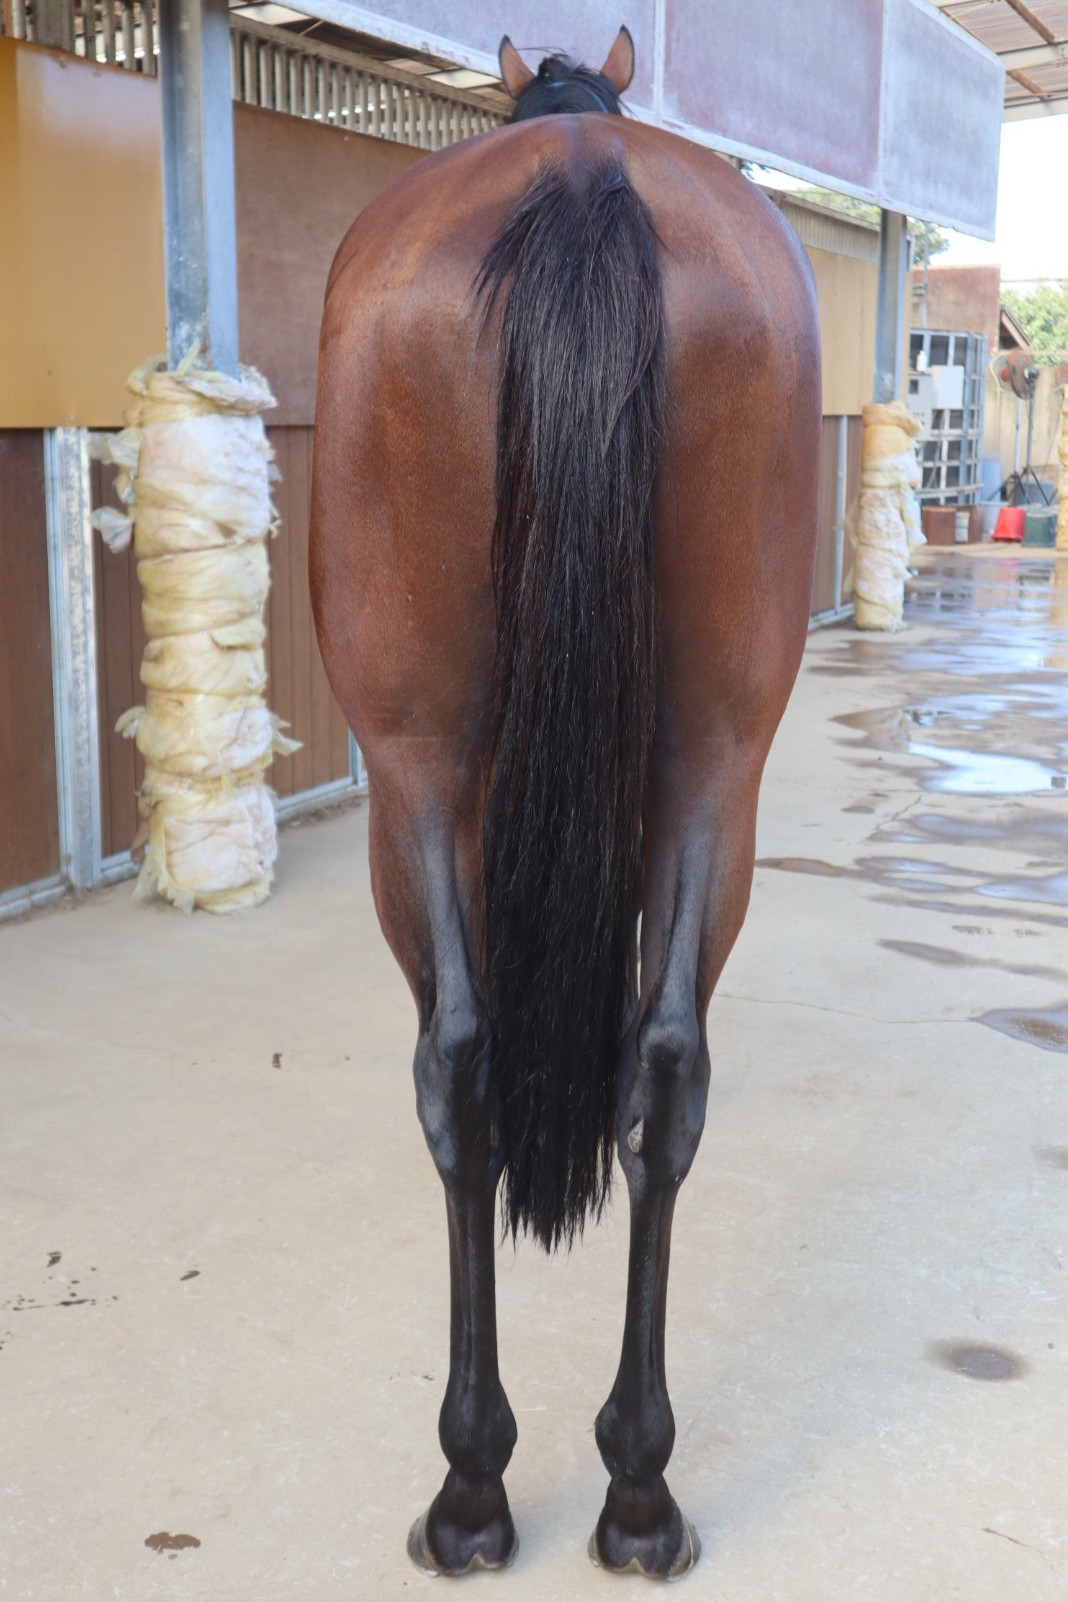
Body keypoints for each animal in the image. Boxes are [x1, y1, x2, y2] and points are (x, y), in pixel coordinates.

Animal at [310, 26, 820, 1580]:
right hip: (719, 755)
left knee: (461, 1068)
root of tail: (587, 171)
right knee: (665, 1068)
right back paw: (638, 1488)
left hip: (414, 765)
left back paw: (473, 1488)